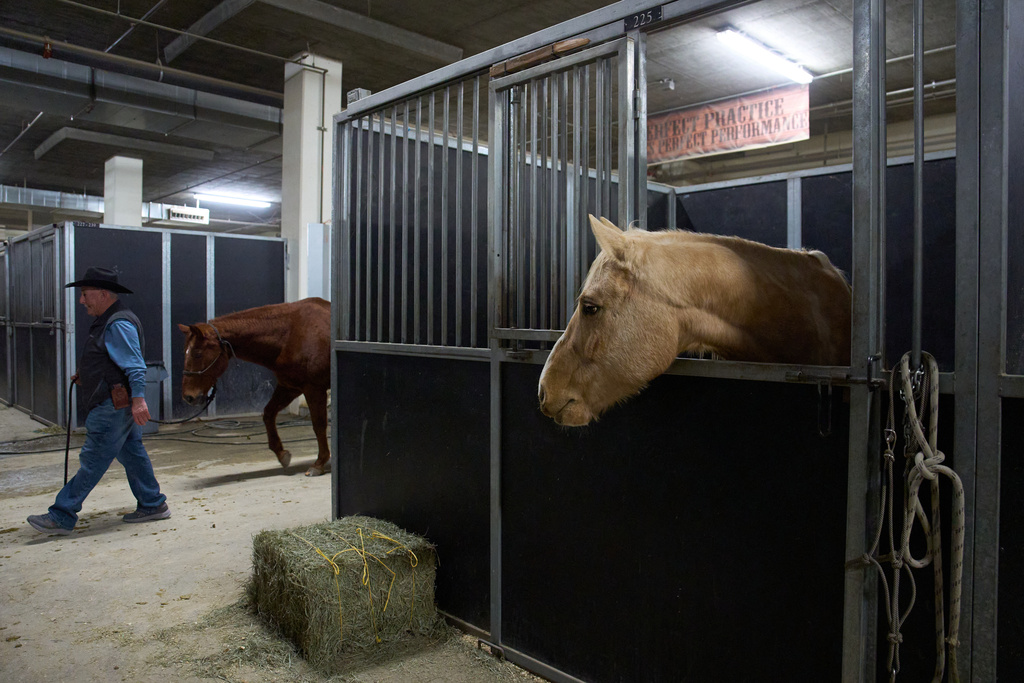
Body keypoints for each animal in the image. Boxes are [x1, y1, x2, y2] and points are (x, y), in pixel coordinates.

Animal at [177, 297, 332, 476]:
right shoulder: (290, 387)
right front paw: (281, 454)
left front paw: (319, 463)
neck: (290, 334)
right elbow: (268, 414)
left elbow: (319, 425)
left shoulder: (314, 389)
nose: (189, 397)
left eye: (197, 353)